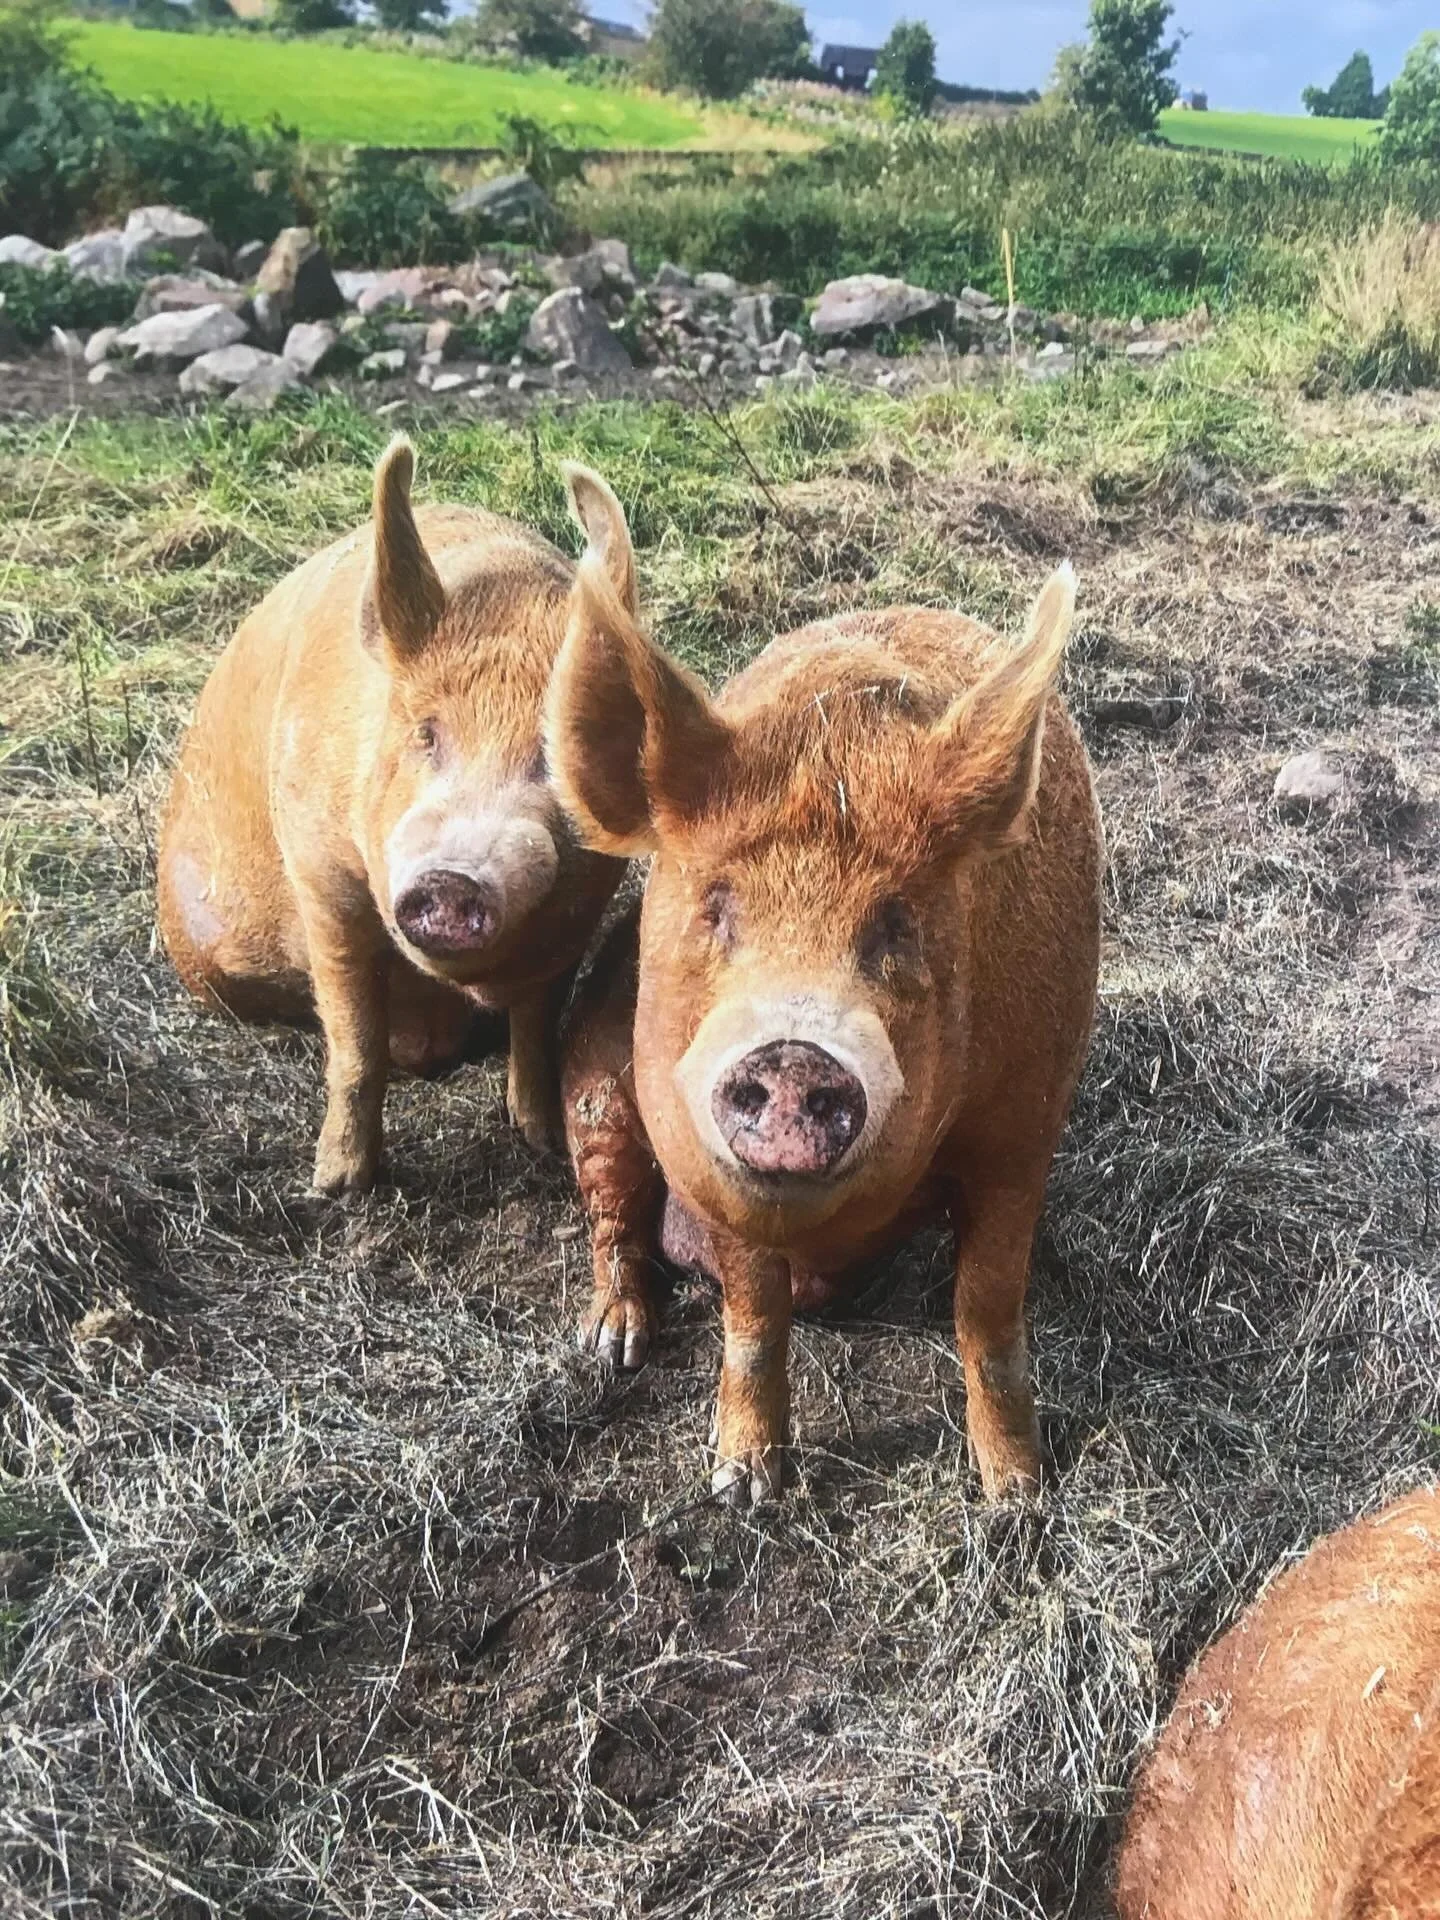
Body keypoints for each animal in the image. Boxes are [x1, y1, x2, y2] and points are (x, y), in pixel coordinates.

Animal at [157, 439, 630, 1193]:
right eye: (425, 733)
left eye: (558, 751)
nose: (454, 876)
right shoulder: (322, 878)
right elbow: (355, 1035)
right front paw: (338, 1185)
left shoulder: (579, 917)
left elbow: (537, 1024)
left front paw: (546, 1145)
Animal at [548, 474, 1102, 1505]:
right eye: (717, 906)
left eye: (897, 922)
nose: (794, 1050)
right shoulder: (704, 1162)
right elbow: (753, 1315)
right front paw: (741, 1489)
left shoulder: (1025, 1125)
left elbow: (987, 1304)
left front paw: (1018, 1499)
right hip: (594, 1081)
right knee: (611, 1211)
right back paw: (613, 1345)